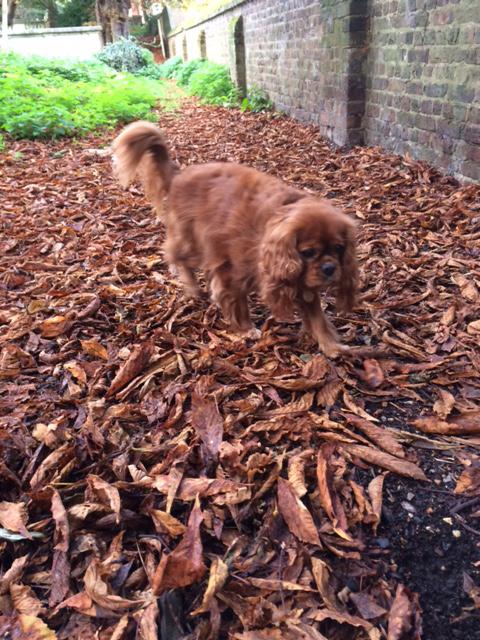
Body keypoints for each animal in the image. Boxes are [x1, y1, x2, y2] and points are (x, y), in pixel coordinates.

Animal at [112, 121, 358, 356]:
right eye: (307, 252)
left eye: (338, 248)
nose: (329, 268)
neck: (272, 223)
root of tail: (179, 175)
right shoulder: (231, 270)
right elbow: (236, 301)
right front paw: (246, 329)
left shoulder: (302, 281)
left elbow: (318, 318)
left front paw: (332, 346)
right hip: (193, 242)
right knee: (175, 255)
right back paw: (192, 288)